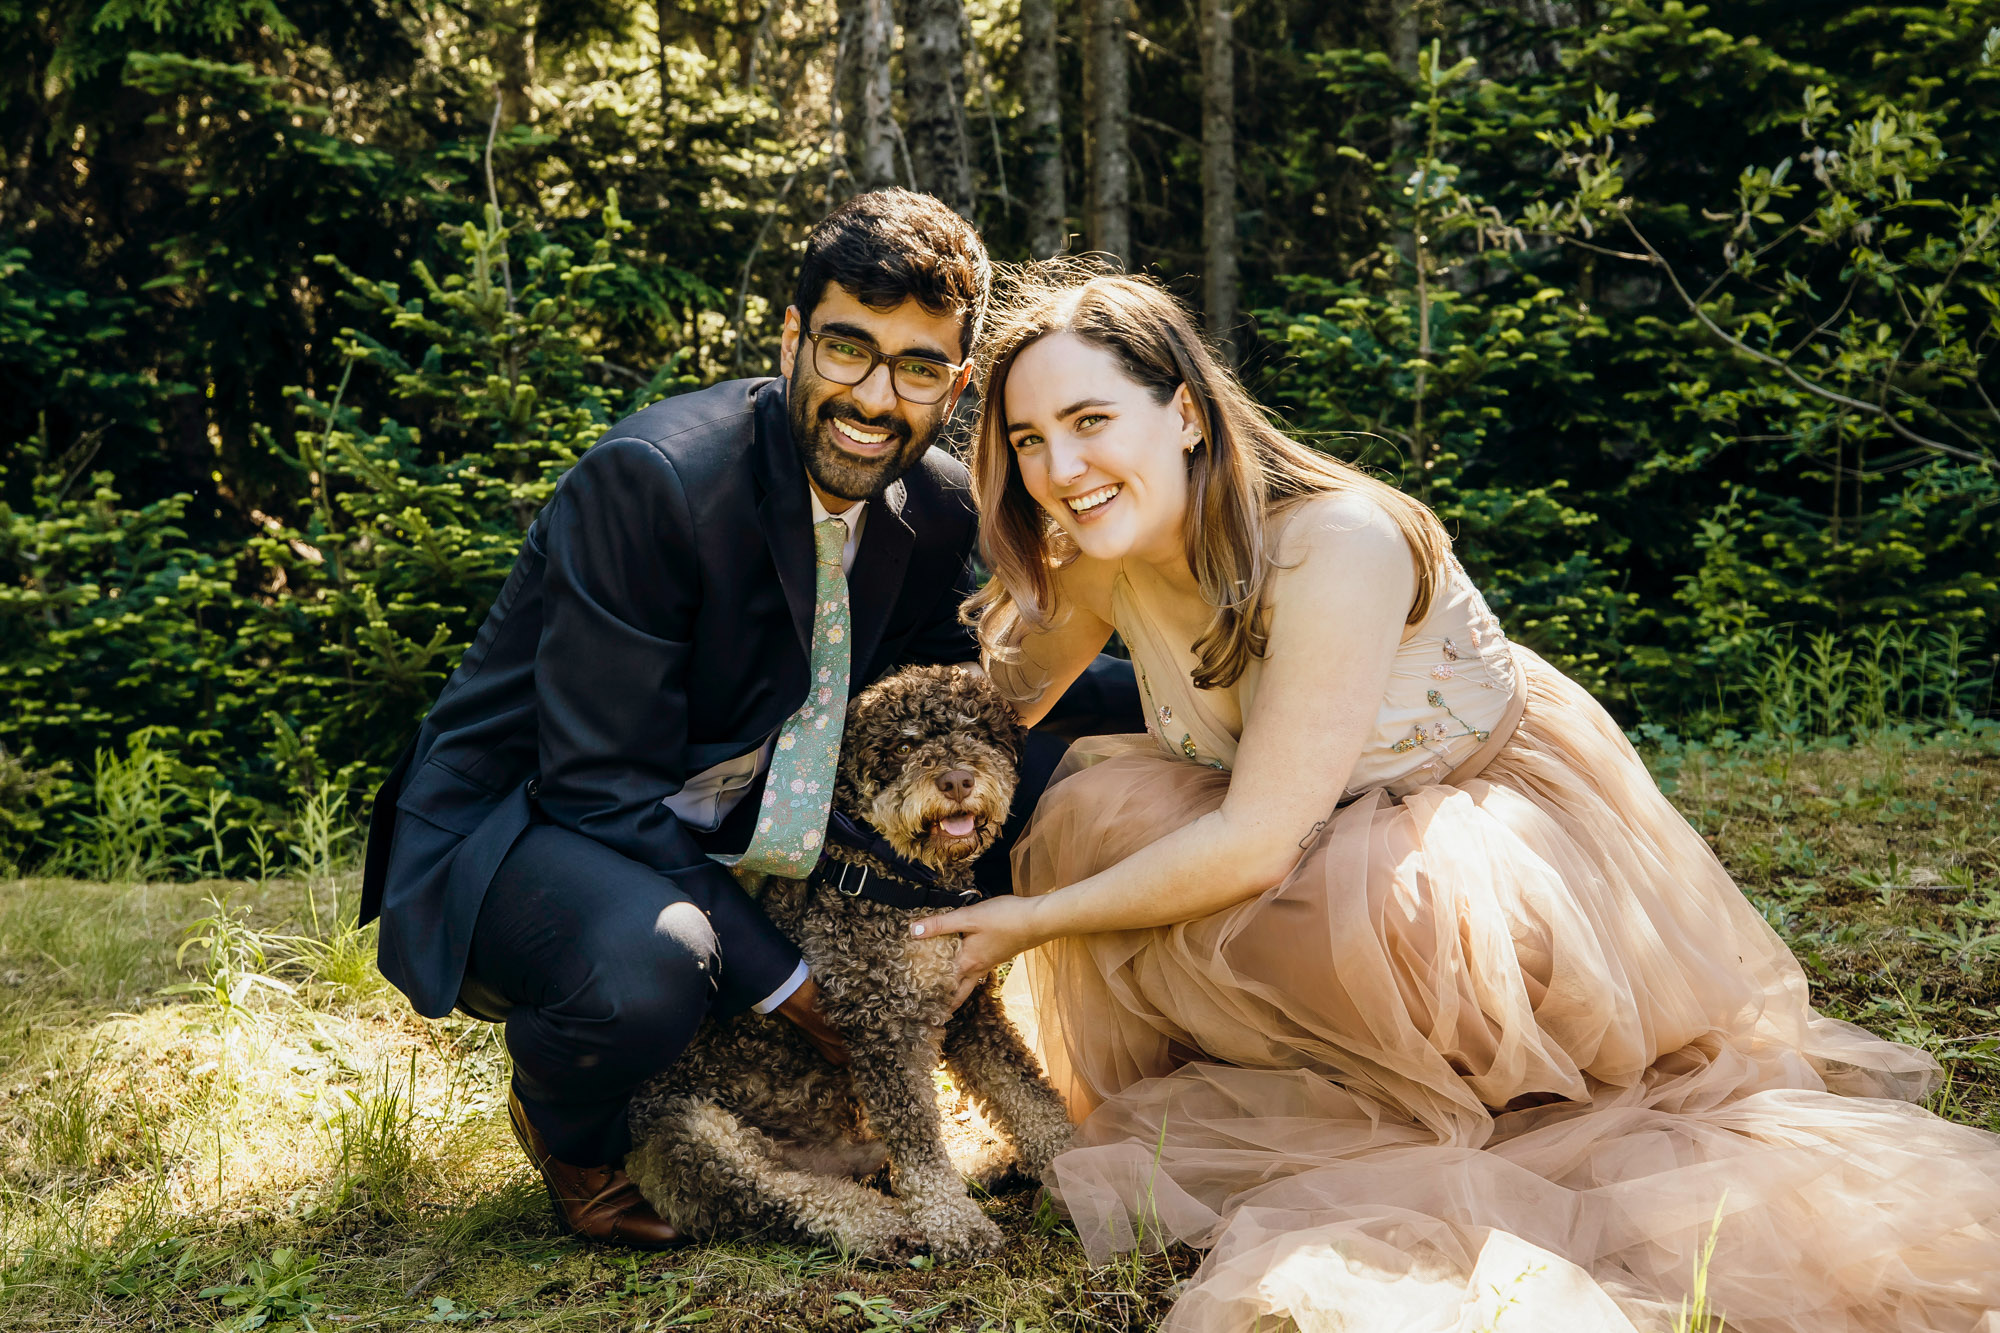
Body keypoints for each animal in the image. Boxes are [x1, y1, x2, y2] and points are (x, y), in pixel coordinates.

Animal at [628, 664, 1080, 1256]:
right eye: (904, 746)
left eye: (977, 732)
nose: (957, 780)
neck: (902, 881)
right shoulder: (880, 1028)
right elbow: (918, 1144)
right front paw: (954, 1223)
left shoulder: (970, 1012)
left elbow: (1027, 1096)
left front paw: (1083, 1164)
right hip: (697, 1134)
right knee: (796, 1200)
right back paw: (891, 1227)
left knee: (875, 1169)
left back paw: (989, 1166)